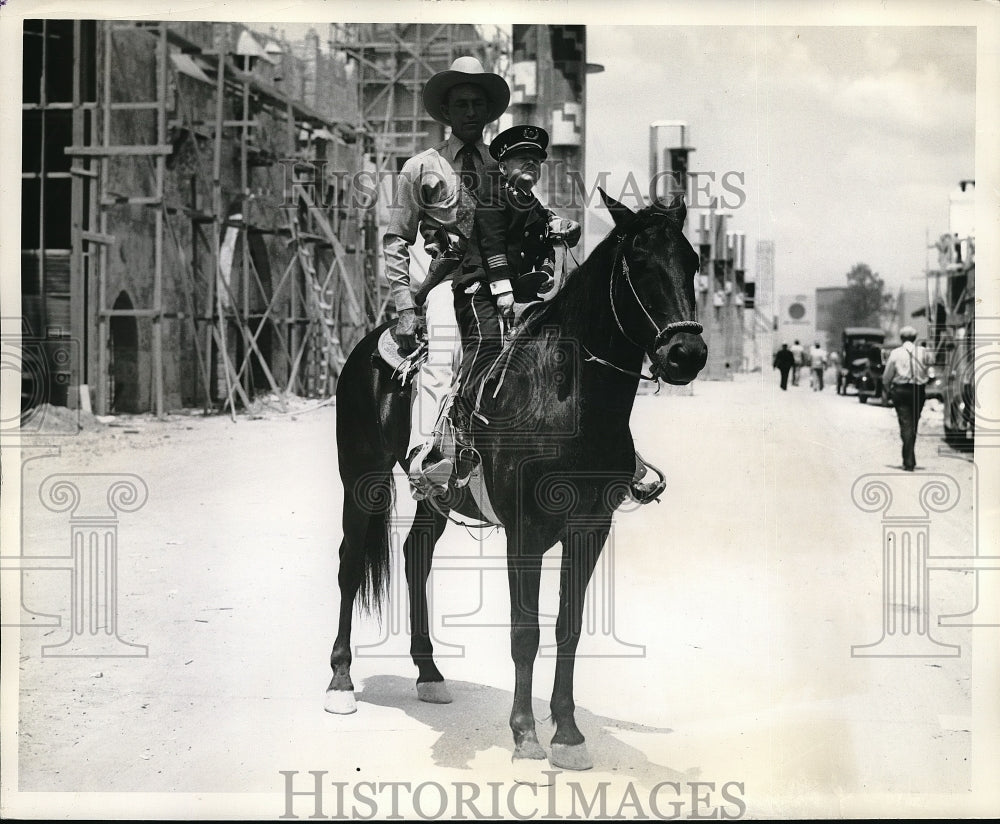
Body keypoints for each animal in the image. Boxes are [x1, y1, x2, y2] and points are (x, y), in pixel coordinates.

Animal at [324, 190, 708, 768]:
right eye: (639, 262)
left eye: (693, 261)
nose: (687, 354)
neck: (566, 401)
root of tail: (370, 345)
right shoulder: (524, 532)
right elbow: (525, 631)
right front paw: (525, 732)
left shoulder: (590, 529)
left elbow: (568, 627)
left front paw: (567, 734)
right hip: (361, 477)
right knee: (350, 564)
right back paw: (341, 681)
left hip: (434, 495)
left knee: (416, 556)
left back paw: (429, 672)